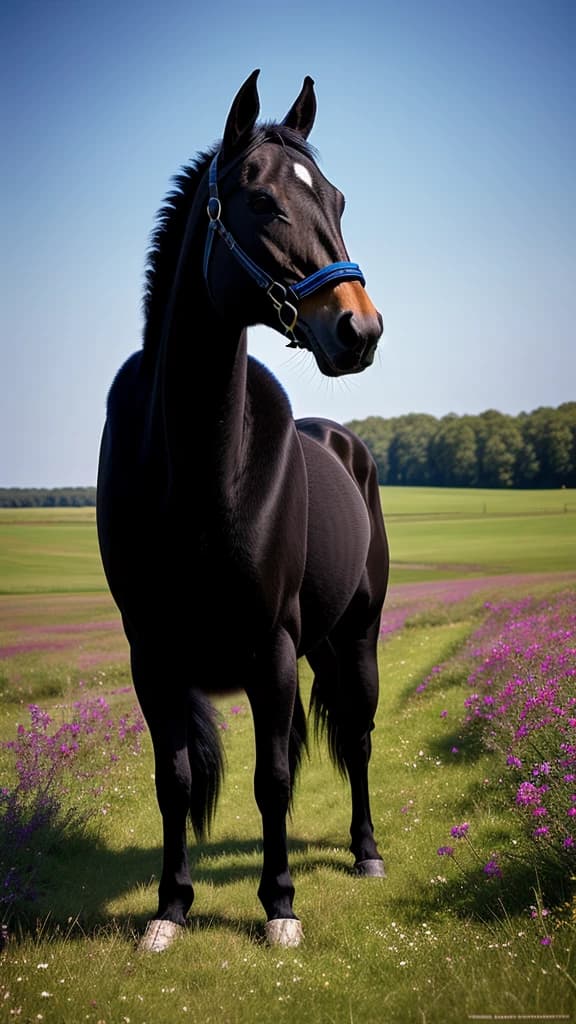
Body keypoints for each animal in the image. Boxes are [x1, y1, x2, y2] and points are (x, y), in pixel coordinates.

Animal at [96, 69, 389, 951]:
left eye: (336, 195)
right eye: (261, 201)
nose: (359, 328)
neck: (196, 470)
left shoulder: (271, 651)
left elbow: (273, 777)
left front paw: (281, 904)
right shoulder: (153, 656)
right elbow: (175, 777)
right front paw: (169, 909)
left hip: (354, 640)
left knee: (358, 737)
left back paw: (366, 852)